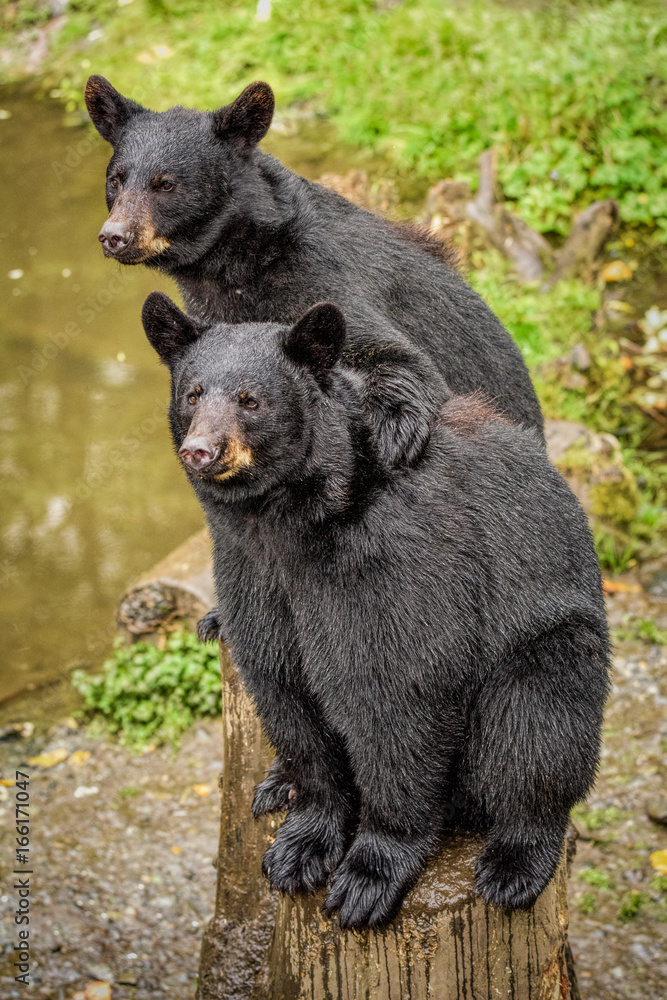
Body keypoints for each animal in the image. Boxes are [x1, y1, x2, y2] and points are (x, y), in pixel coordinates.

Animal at [86, 75, 544, 470]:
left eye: (166, 184)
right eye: (116, 180)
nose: (114, 236)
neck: (231, 266)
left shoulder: (317, 275)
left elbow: (398, 357)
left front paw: (391, 436)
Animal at [141, 289, 610, 930]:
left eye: (250, 399)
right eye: (193, 393)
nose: (201, 450)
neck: (290, 526)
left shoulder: (393, 562)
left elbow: (398, 691)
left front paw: (369, 874)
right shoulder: (253, 575)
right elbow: (287, 693)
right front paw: (300, 845)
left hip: (551, 642)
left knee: (535, 732)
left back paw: (515, 862)